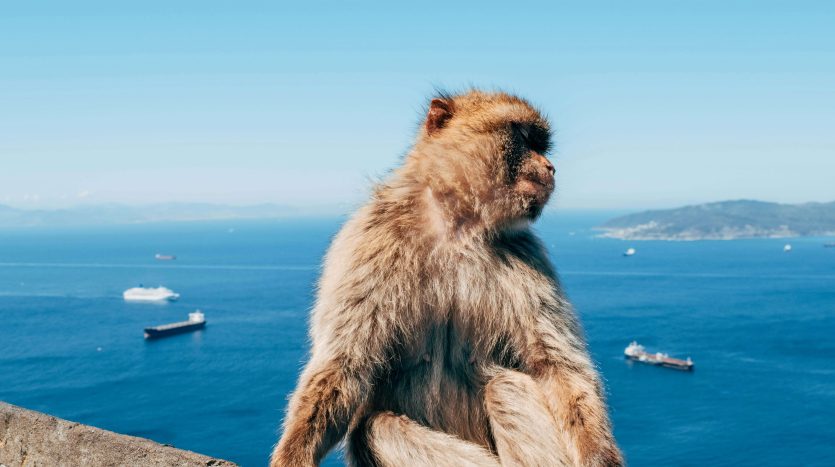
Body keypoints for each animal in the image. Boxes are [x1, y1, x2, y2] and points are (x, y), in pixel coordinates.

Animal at [271, 90, 623, 467]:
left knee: (505, 387)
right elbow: (344, 365)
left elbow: (555, 365)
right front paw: (294, 454)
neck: (457, 226)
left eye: (541, 144)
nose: (550, 167)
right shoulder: (369, 239)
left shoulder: (527, 251)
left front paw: (600, 454)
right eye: (525, 137)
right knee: (376, 427)